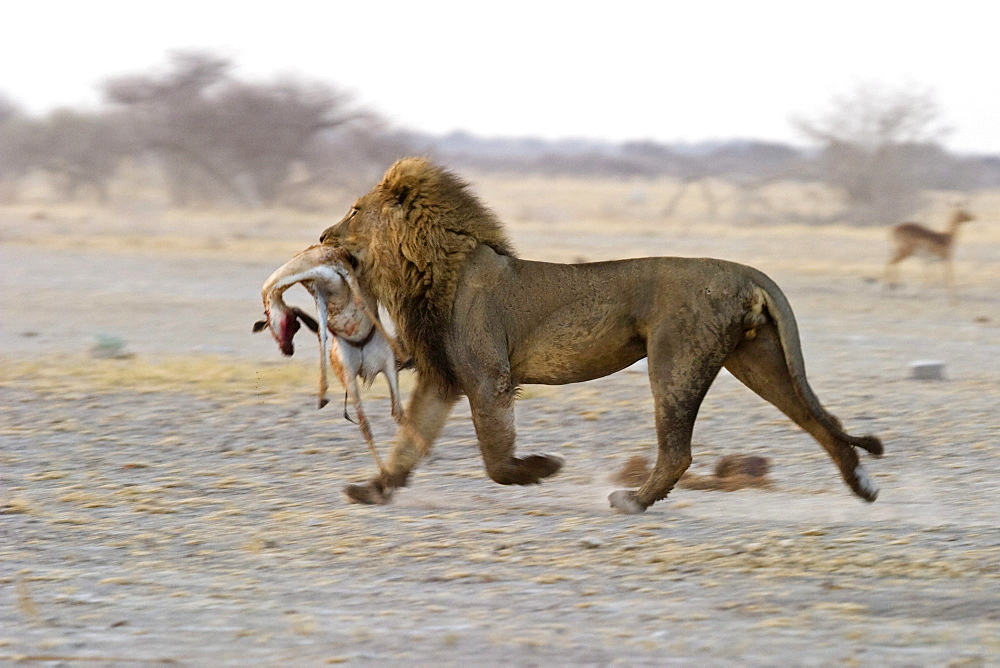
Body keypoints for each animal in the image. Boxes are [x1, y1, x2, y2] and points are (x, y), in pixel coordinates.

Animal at [318, 159, 884, 516]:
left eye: (354, 211)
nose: (322, 236)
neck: (422, 266)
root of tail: (745, 271)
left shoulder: (487, 375)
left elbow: (495, 458)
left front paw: (542, 469)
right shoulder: (444, 377)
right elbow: (411, 441)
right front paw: (374, 490)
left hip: (675, 359)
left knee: (679, 451)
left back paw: (632, 500)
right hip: (758, 359)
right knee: (818, 420)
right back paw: (862, 485)